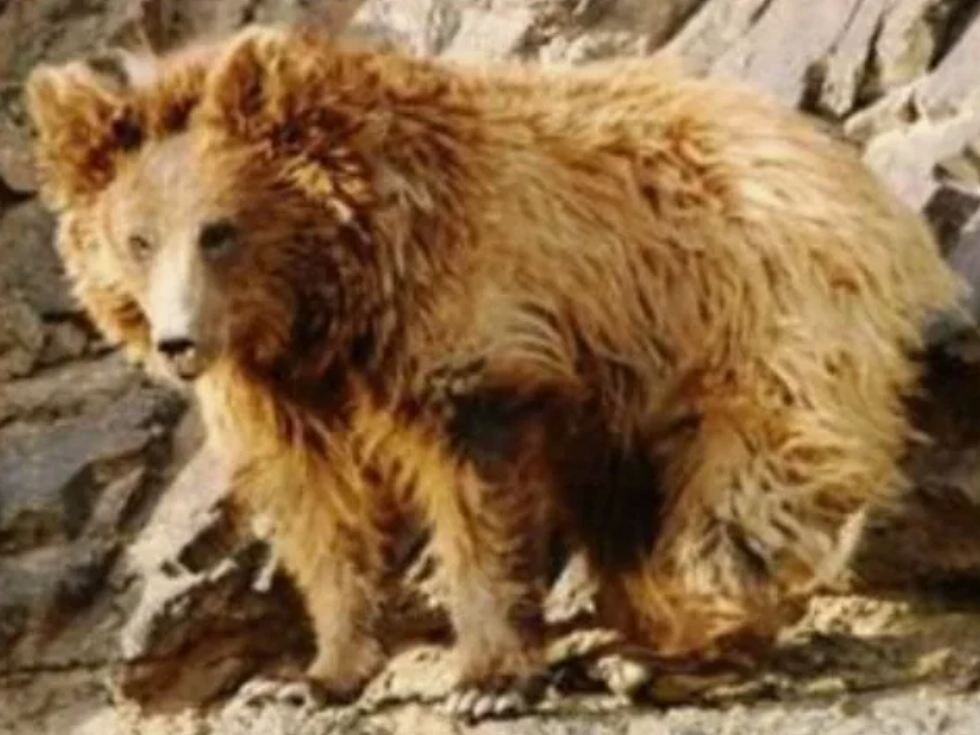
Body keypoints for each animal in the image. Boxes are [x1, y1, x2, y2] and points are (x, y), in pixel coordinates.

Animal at [26, 26, 962, 717]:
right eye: (137, 238)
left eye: (219, 229)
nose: (179, 342)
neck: (334, 294)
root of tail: (844, 167)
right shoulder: (282, 386)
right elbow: (319, 510)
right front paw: (311, 672)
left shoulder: (468, 314)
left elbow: (478, 498)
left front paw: (485, 676)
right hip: (631, 390)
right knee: (628, 506)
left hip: (752, 311)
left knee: (749, 486)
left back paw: (680, 646)